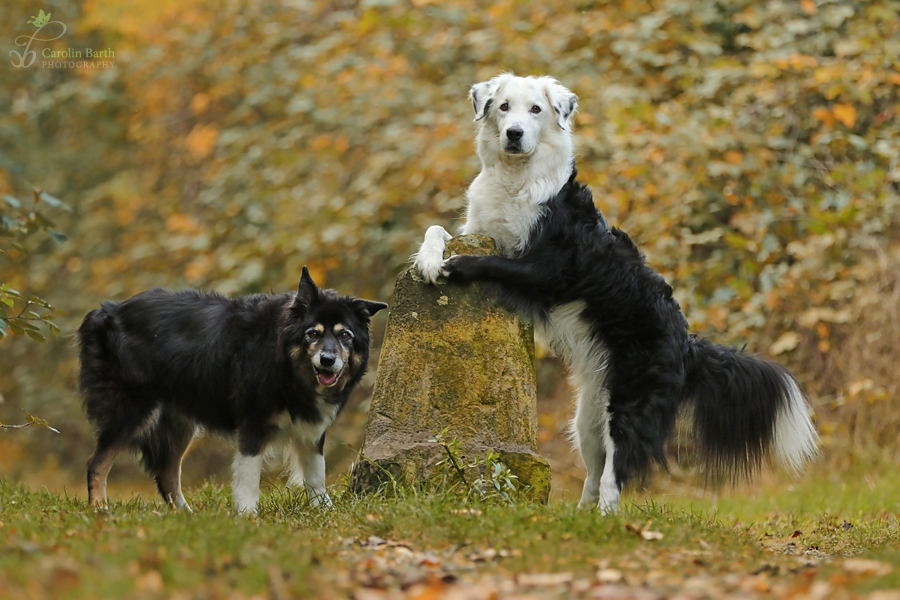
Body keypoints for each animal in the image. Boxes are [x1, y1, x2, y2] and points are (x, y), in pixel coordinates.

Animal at [79, 270, 384, 512]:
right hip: (133, 410)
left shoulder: (311, 430)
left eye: (344, 335)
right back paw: (99, 509)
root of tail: (105, 311)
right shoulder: (253, 424)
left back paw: (186, 515)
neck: (284, 360)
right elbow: (249, 477)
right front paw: (248, 516)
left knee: (166, 472)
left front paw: (325, 511)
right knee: (96, 463)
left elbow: (316, 475)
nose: (327, 360)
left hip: (179, 421)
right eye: (313, 333)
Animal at [414, 75, 816, 512]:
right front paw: (429, 258)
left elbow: (493, 262)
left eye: (536, 109)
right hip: (589, 416)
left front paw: (456, 267)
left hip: (629, 405)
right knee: (595, 472)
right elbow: (437, 229)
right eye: (503, 107)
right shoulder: (479, 229)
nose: (514, 134)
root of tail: (688, 342)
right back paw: (579, 517)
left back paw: (607, 519)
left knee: (614, 475)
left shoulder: (549, 270)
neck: (516, 177)